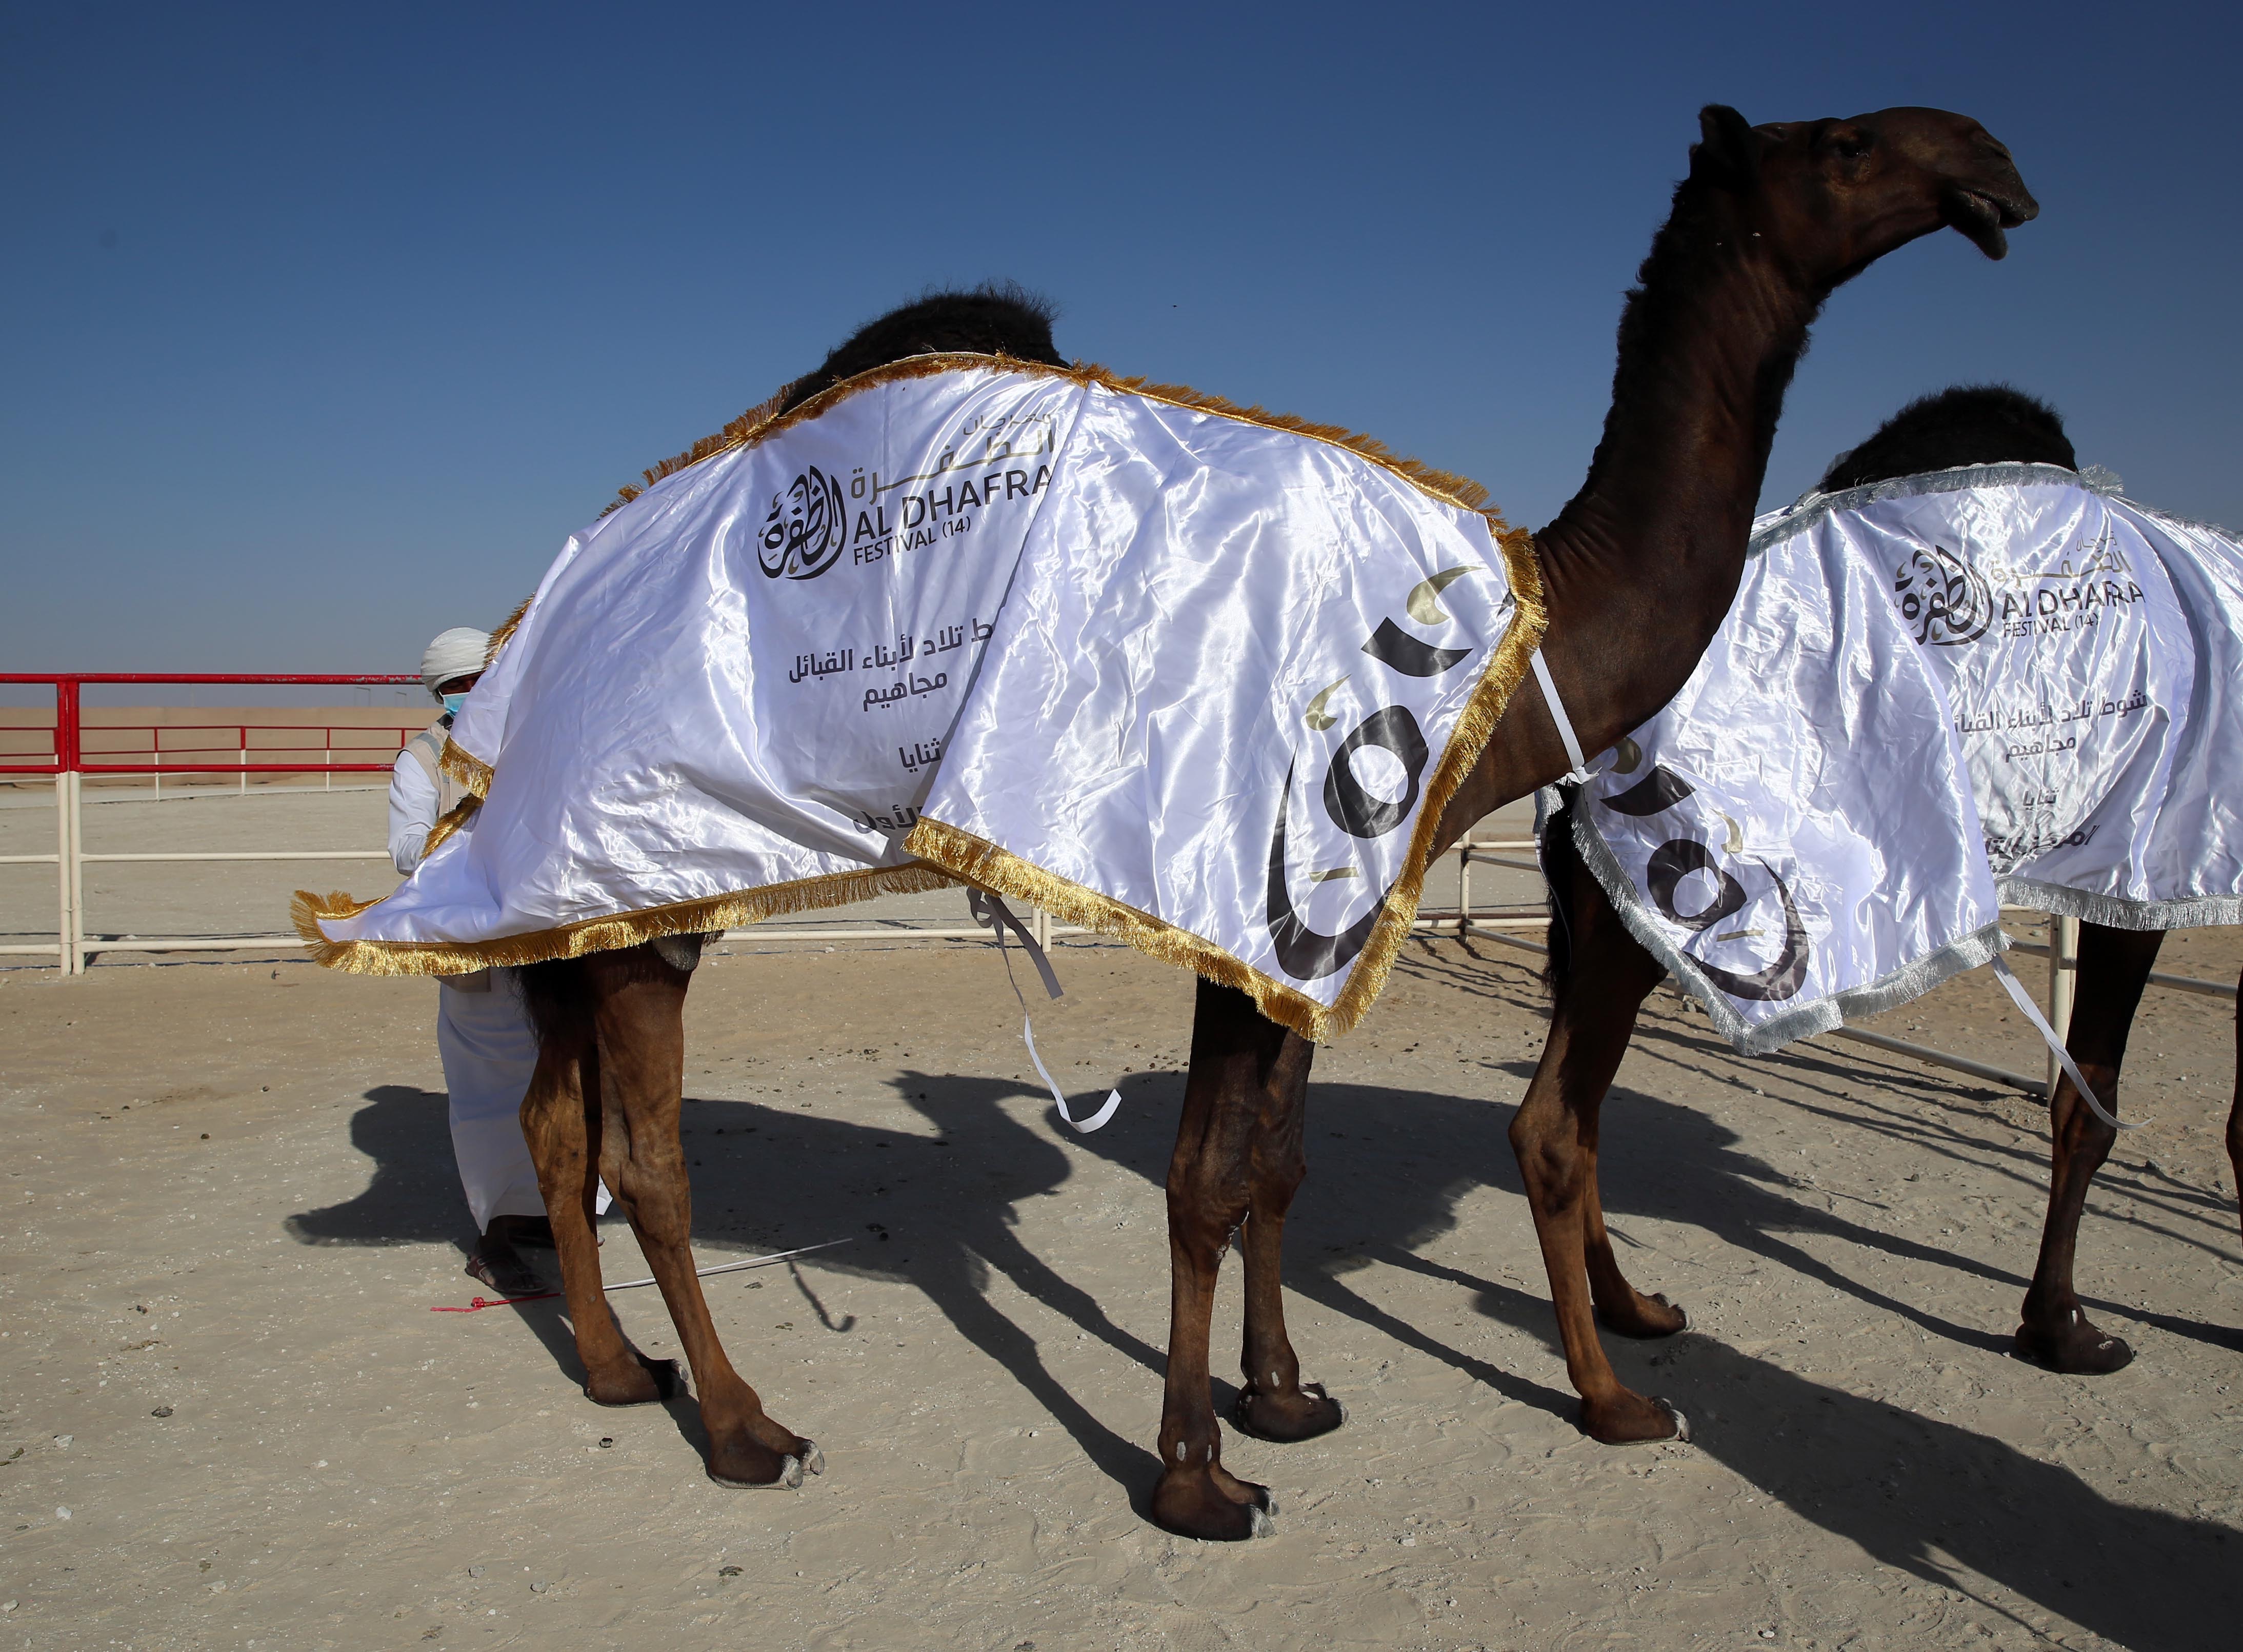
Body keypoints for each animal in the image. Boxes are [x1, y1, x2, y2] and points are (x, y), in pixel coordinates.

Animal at [505, 110, 2036, 1542]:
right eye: (1839, 145)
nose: (1989, 163)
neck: (1515, 629)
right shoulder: (1235, 898)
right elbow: (1201, 1178)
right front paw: (1193, 1473)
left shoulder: (1309, 917)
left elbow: (1271, 1165)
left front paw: (1283, 1393)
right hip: (645, 883)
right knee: (649, 1161)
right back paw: (743, 1427)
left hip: (580, 918)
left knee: (556, 1117)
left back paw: (617, 1368)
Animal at [1525, 385, 2243, 1434]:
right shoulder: (2146, 869)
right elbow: (2095, 1107)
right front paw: (2061, 1330)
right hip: (1642, 912)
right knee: (1551, 1126)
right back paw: (1609, 1397)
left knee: (1578, 1116)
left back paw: (1634, 1310)